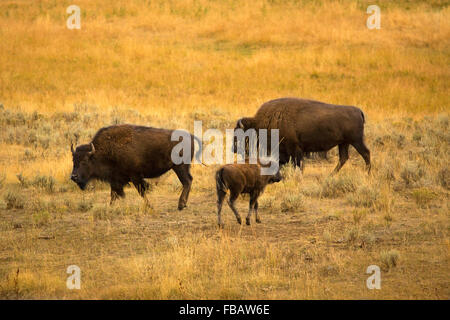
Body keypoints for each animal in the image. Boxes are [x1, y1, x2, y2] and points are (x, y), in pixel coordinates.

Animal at [70, 123, 200, 210]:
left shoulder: (135, 177)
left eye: (84, 161)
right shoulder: (115, 179)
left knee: (187, 181)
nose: (73, 177)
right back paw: (183, 204)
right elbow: (114, 194)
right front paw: (111, 207)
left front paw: (149, 207)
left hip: (180, 167)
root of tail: (190, 135)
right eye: (73, 160)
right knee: (188, 181)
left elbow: (141, 191)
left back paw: (181, 205)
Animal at [234, 97, 370, 174]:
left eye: (240, 135)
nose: (233, 148)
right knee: (343, 158)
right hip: (344, 143)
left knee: (365, 153)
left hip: (356, 141)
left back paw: (367, 173)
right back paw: (331, 175)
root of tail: (359, 111)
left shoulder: (294, 149)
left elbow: (298, 165)